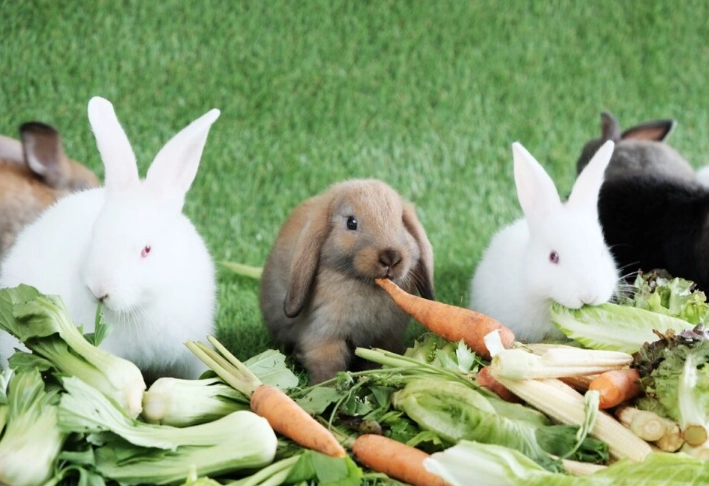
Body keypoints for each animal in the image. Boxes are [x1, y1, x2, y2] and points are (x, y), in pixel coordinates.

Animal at [259, 179, 435, 384]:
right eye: (351, 223)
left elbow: (377, 361)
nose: (390, 257)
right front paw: (328, 388)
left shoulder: (386, 337)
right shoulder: (324, 335)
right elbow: (328, 367)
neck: (367, 285)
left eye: (401, 221)